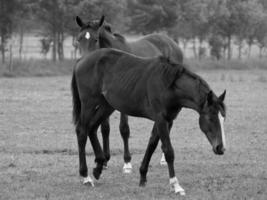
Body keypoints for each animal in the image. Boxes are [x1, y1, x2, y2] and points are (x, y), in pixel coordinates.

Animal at [72, 47, 227, 195]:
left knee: (92, 128)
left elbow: (152, 144)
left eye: (223, 117)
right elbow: (168, 151)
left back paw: (98, 166)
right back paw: (86, 176)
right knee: (82, 131)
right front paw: (176, 186)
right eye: (211, 117)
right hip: (89, 104)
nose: (220, 148)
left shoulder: (168, 120)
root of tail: (81, 60)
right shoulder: (161, 119)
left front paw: (142, 177)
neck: (169, 86)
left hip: (106, 106)